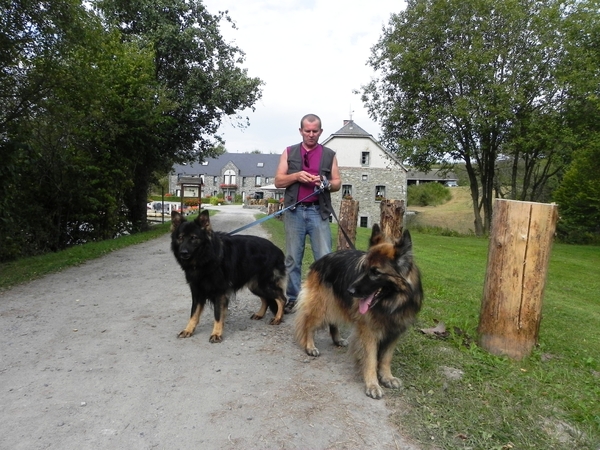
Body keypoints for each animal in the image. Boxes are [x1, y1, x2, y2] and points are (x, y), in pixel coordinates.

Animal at [171, 210, 288, 342]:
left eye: (194, 238)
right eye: (181, 238)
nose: (183, 252)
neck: (206, 257)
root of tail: (278, 250)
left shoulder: (219, 293)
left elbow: (217, 315)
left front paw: (216, 333)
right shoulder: (197, 292)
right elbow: (193, 313)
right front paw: (188, 330)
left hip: (264, 285)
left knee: (282, 298)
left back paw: (278, 318)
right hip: (256, 286)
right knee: (266, 299)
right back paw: (260, 314)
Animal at [296, 224, 422, 398]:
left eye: (375, 272)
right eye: (363, 269)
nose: (350, 291)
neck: (391, 302)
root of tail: (321, 259)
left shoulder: (394, 331)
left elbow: (386, 358)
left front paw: (387, 377)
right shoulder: (368, 331)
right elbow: (371, 359)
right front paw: (372, 384)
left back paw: (337, 339)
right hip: (322, 306)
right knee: (308, 323)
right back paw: (310, 346)